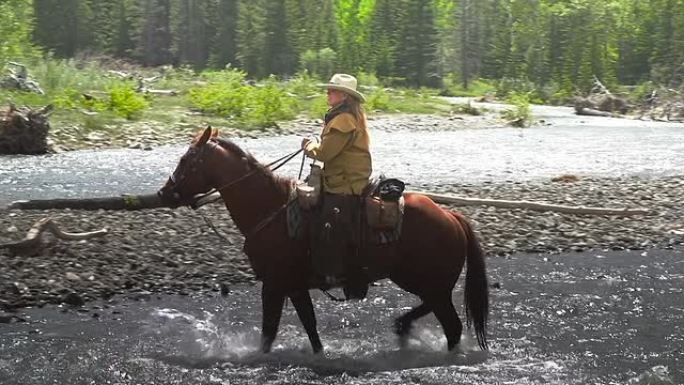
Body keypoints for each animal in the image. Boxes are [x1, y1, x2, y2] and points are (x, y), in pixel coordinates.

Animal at [159, 127, 492, 354]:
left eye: (186, 159)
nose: (165, 193)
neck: (270, 209)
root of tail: (451, 216)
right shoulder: (293, 286)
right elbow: (310, 327)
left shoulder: (274, 284)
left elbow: (269, 331)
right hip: (424, 283)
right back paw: (402, 326)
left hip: (429, 283)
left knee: (452, 326)